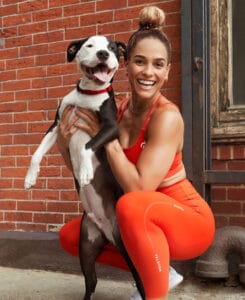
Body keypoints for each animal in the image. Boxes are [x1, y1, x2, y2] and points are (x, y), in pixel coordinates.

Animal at [23, 35, 145, 300]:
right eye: (89, 45)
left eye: (112, 48)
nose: (103, 54)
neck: (88, 94)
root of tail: (107, 231)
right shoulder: (56, 125)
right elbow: (36, 153)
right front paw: (30, 178)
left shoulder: (110, 127)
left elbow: (87, 146)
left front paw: (86, 171)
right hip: (86, 247)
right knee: (91, 281)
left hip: (129, 251)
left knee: (142, 280)